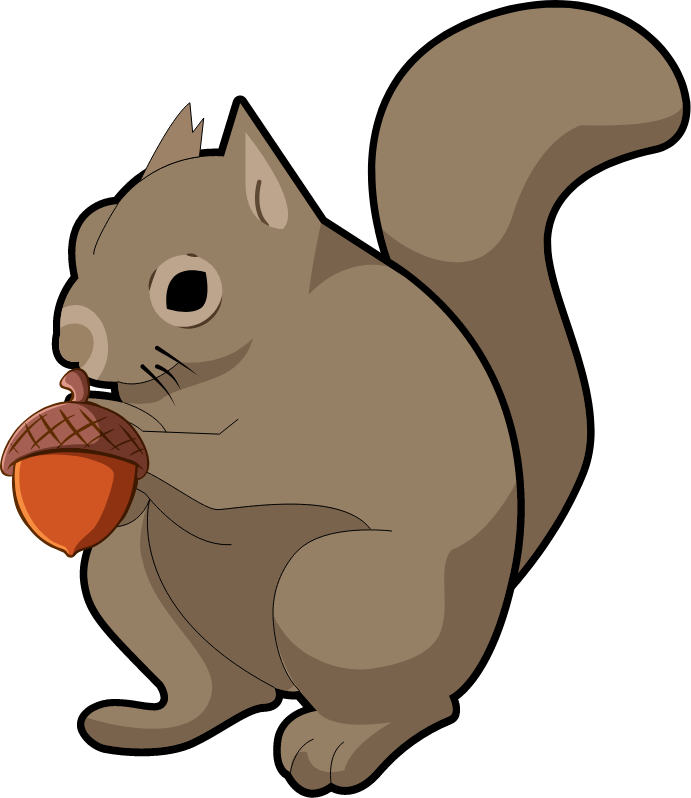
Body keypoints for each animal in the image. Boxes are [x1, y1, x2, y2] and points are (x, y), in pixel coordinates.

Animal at [55, 8, 681, 789]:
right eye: (88, 232)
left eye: (187, 290)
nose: (74, 336)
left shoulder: (328, 404)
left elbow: (241, 465)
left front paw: (119, 427)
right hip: (136, 582)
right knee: (228, 690)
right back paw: (163, 725)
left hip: (334, 593)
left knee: (421, 705)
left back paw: (338, 744)